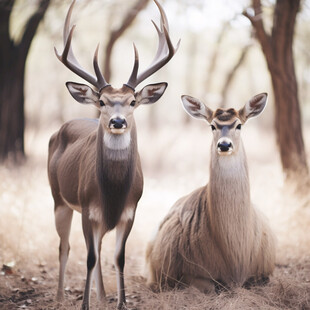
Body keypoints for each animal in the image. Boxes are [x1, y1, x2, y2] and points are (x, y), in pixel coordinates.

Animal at [48, 1, 179, 308]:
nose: (117, 122)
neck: (113, 191)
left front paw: (120, 303)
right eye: (101, 100)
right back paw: (59, 297)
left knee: (96, 248)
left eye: (132, 102)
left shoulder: (130, 211)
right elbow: (89, 258)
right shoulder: (87, 208)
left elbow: (117, 258)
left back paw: (103, 296)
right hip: (58, 198)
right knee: (64, 247)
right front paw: (84, 304)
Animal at [145, 93, 276, 292]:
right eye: (212, 126)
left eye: (239, 125)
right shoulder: (189, 274)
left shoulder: (265, 270)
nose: (224, 145)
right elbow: (210, 286)